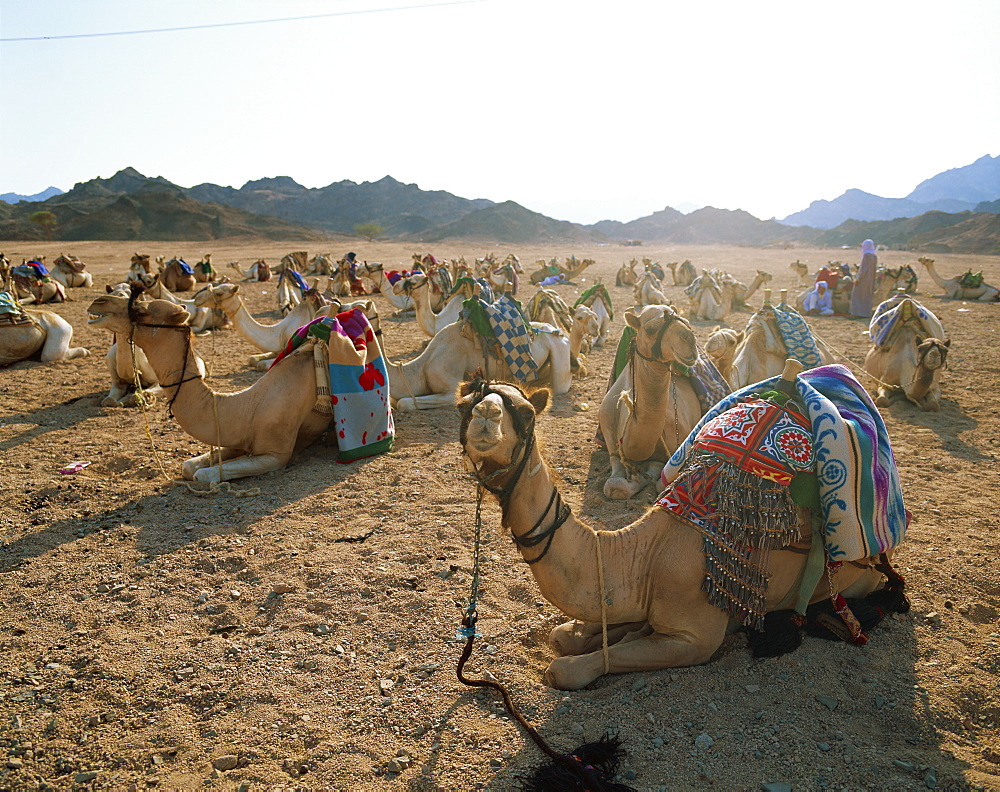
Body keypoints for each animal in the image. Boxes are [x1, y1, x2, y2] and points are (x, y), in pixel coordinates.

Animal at [458, 374, 904, 688]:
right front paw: (593, 631)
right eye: (464, 403)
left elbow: (568, 668)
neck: (643, 556)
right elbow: (566, 634)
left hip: (852, 578)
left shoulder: (693, 638)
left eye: (526, 412)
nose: (486, 415)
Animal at [596, 304, 708, 498]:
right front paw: (634, 477)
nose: (688, 339)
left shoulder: (667, 455)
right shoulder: (613, 446)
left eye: (686, 321)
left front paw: (641, 478)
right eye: (650, 329)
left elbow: (658, 480)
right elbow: (614, 486)